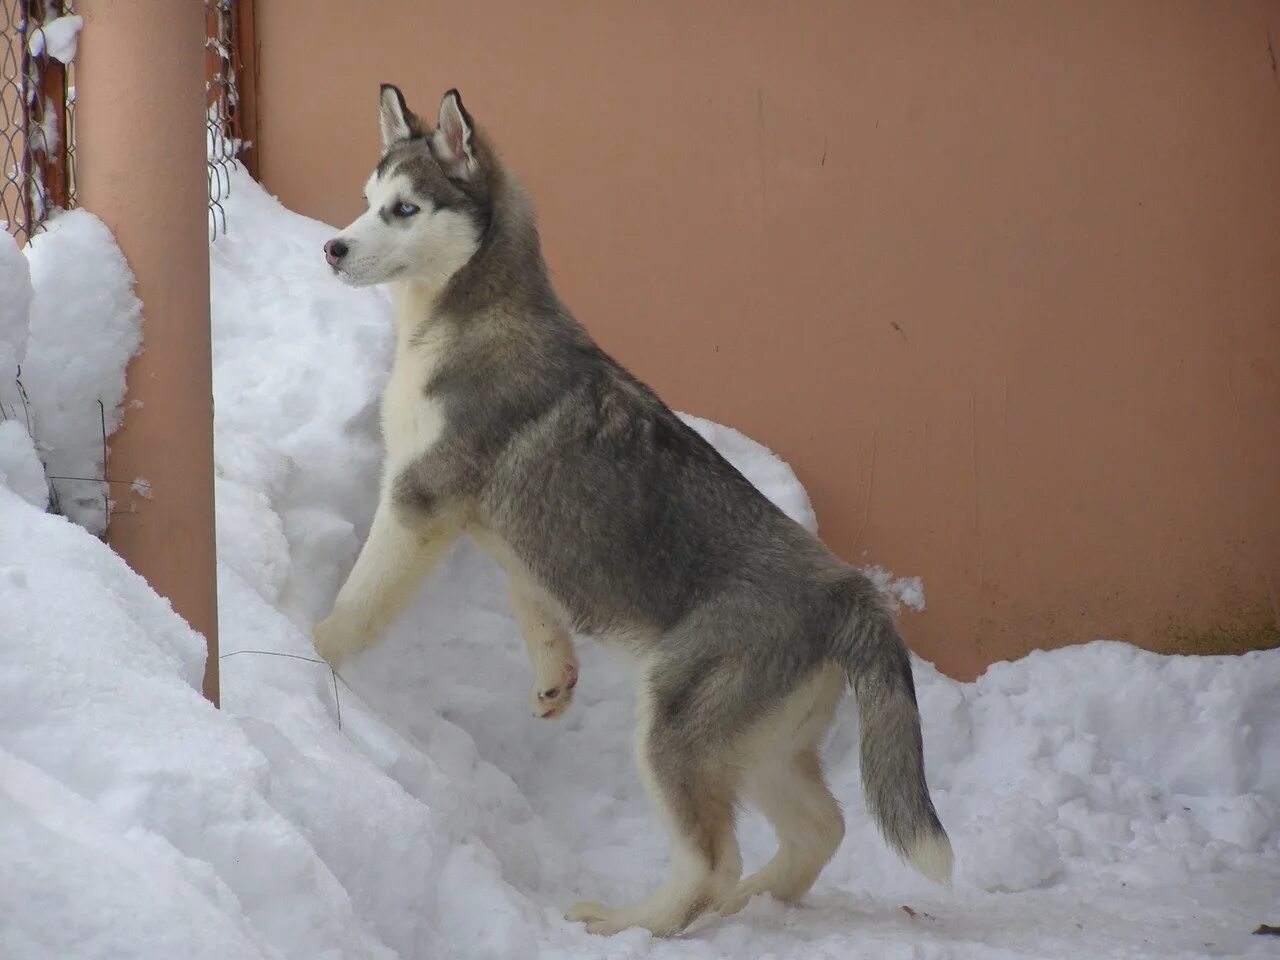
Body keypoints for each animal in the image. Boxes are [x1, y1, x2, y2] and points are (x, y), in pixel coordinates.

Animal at [312, 84, 952, 942]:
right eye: (366, 201)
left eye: (405, 209)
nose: (332, 249)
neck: (464, 321)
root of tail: (852, 592)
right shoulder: (510, 541)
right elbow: (533, 608)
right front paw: (555, 680)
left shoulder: (417, 502)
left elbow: (358, 608)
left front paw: (306, 648)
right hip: (759, 748)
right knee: (820, 829)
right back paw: (751, 908)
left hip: (675, 729)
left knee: (713, 862)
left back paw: (627, 923)